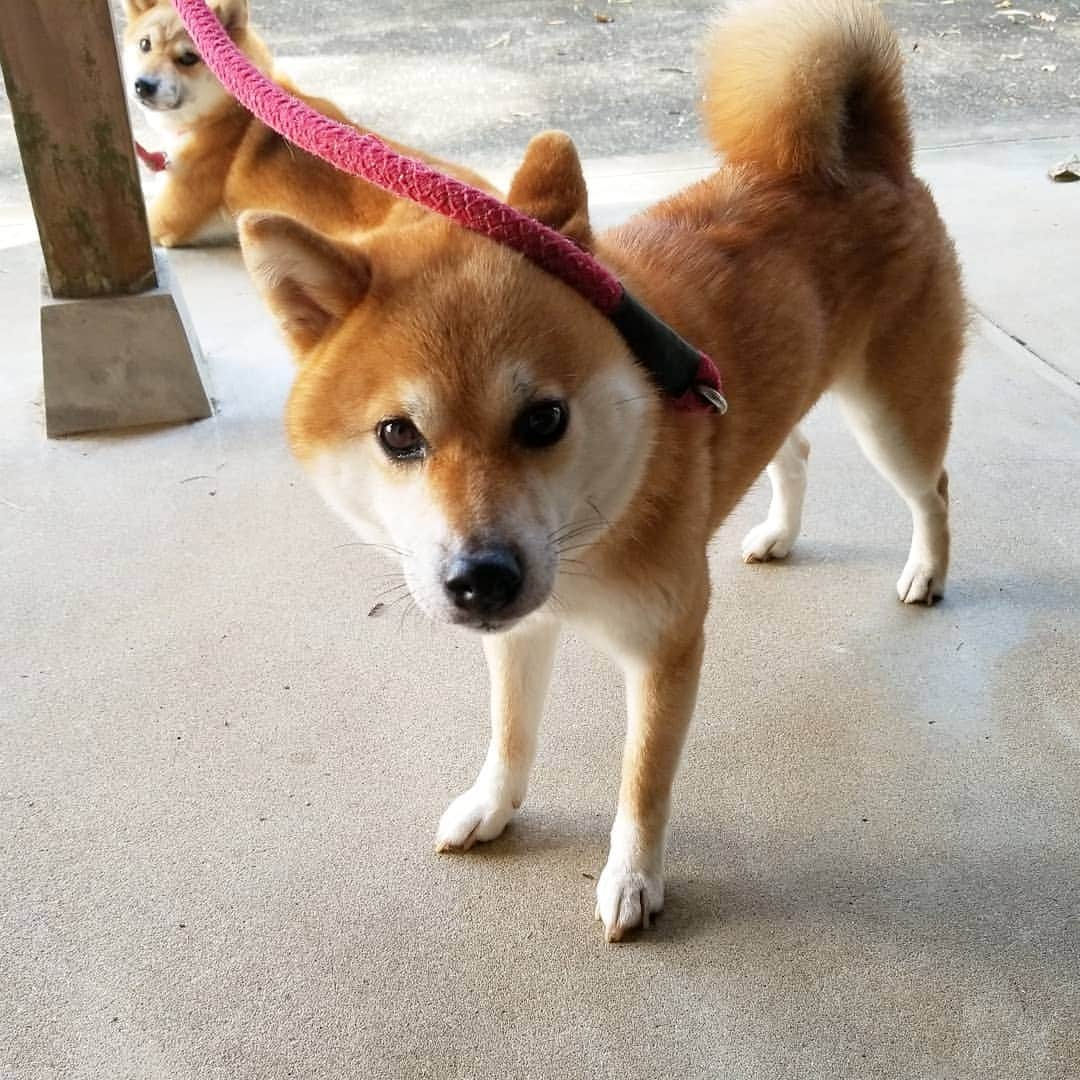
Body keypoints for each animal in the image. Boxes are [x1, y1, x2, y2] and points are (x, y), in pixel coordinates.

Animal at [234, 0, 963, 941]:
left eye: (544, 418)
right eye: (398, 435)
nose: (481, 578)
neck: (593, 533)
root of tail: (873, 159)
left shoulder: (667, 647)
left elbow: (643, 781)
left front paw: (633, 877)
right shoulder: (518, 637)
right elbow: (510, 733)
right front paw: (494, 804)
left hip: (892, 418)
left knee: (932, 489)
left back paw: (926, 572)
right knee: (794, 450)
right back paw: (777, 533)